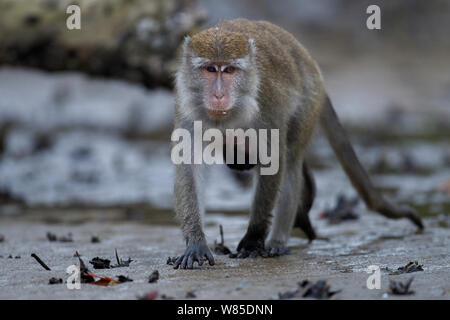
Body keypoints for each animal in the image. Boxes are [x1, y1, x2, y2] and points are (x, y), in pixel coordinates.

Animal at [171, 18, 422, 268]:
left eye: (229, 70)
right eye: (210, 69)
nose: (219, 96)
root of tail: (308, 59)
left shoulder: (267, 108)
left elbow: (274, 162)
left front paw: (253, 239)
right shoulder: (188, 110)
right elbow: (189, 169)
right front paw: (196, 242)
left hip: (308, 101)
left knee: (291, 161)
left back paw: (277, 241)